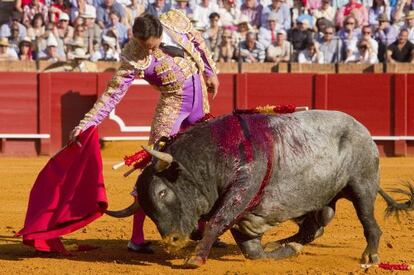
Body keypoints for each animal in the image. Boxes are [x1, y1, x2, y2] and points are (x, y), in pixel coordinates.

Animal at [106, 110, 414, 270]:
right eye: (146, 206)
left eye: (162, 192)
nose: (171, 241)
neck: (211, 157)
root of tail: (363, 130)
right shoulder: (246, 215)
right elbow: (253, 252)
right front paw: (282, 251)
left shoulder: (242, 189)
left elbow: (217, 220)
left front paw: (195, 258)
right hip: (323, 198)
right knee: (315, 227)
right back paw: (287, 242)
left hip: (362, 186)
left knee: (369, 223)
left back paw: (370, 257)